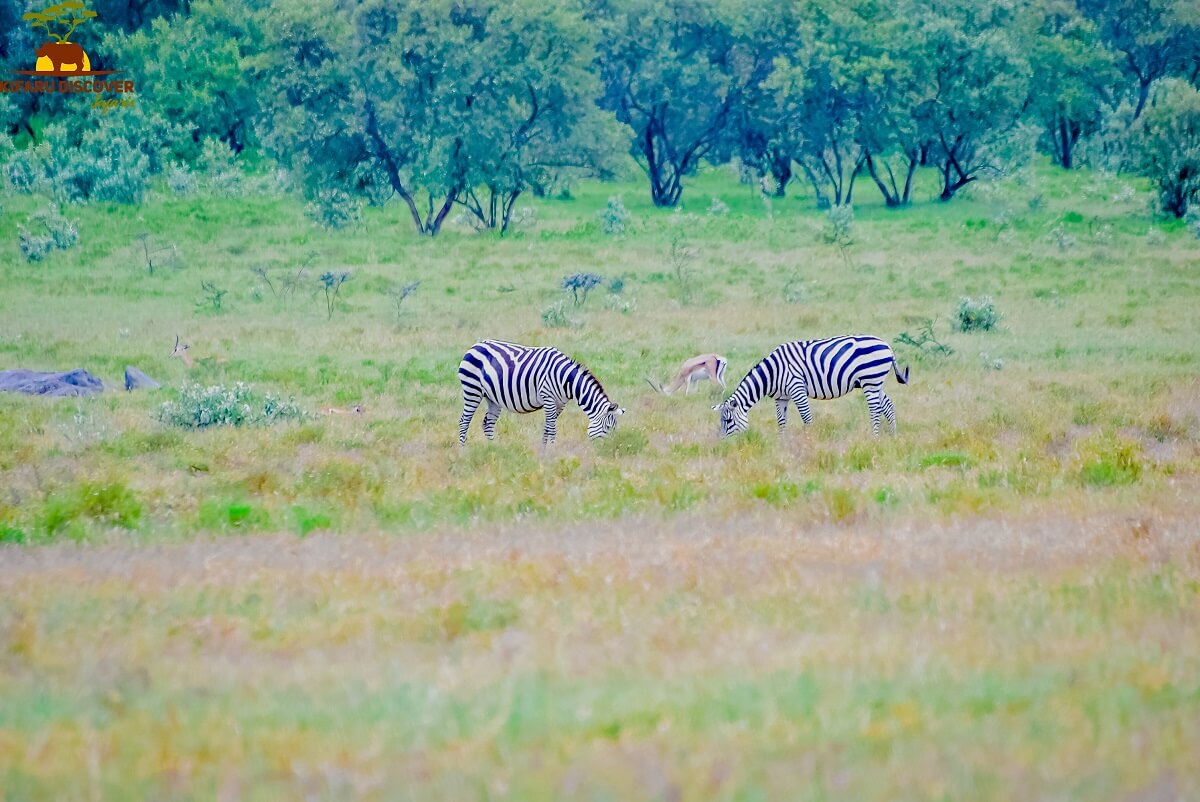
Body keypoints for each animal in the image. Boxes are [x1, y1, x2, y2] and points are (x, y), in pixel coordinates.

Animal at [458, 340, 628, 444]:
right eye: (608, 428)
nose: (608, 449)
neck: (565, 380)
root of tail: (475, 345)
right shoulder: (548, 399)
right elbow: (551, 429)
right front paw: (552, 450)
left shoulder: (559, 404)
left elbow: (547, 428)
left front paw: (545, 452)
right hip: (472, 389)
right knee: (464, 421)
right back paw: (463, 451)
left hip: (492, 398)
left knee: (488, 424)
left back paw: (495, 449)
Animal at [710, 333, 907, 439]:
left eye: (728, 421)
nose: (724, 444)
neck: (772, 373)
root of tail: (887, 345)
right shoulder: (781, 397)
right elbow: (781, 421)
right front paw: (781, 443)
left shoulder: (797, 388)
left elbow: (807, 418)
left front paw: (809, 441)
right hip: (875, 382)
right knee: (888, 406)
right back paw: (892, 436)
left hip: (870, 381)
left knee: (875, 409)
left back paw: (874, 437)